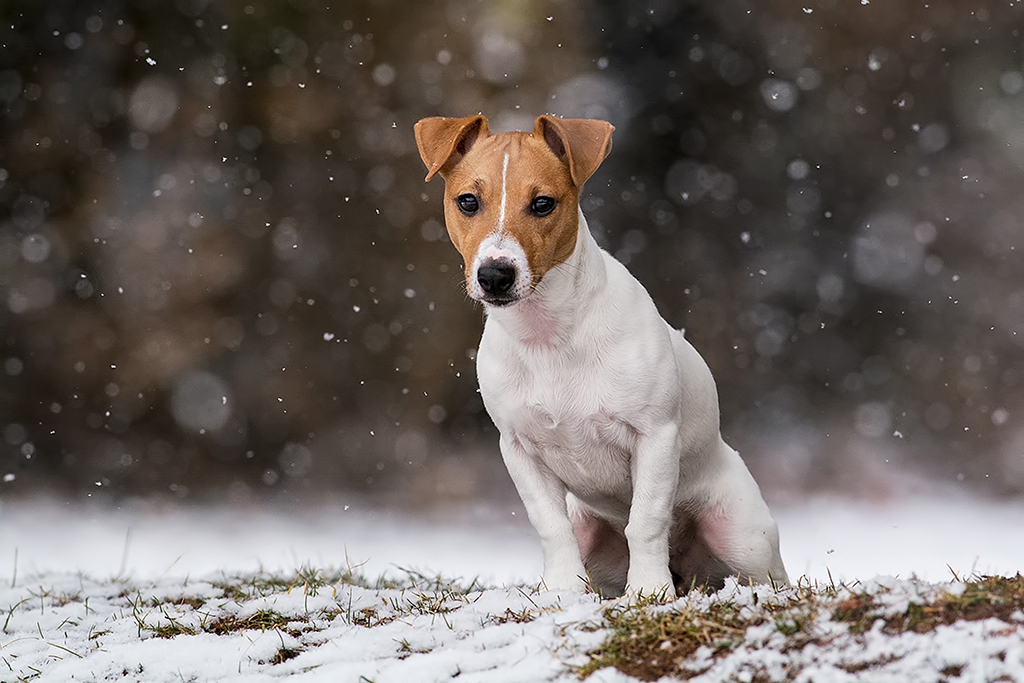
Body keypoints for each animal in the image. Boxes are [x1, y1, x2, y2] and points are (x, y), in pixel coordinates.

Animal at [411, 113, 786, 598]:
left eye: (543, 204)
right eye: (468, 202)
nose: (495, 275)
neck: (548, 334)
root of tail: (689, 572)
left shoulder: (654, 436)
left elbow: (646, 520)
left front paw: (649, 591)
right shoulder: (518, 448)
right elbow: (550, 525)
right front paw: (562, 591)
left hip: (741, 537)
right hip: (591, 529)